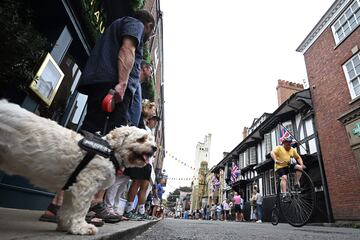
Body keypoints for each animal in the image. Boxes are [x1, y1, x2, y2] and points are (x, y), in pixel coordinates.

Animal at [0, 99, 158, 234]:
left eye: (151, 140)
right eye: (141, 139)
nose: (155, 148)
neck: (109, 151)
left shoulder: (72, 187)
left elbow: (68, 209)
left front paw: (66, 225)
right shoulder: (86, 184)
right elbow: (81, 208)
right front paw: (81, 227)